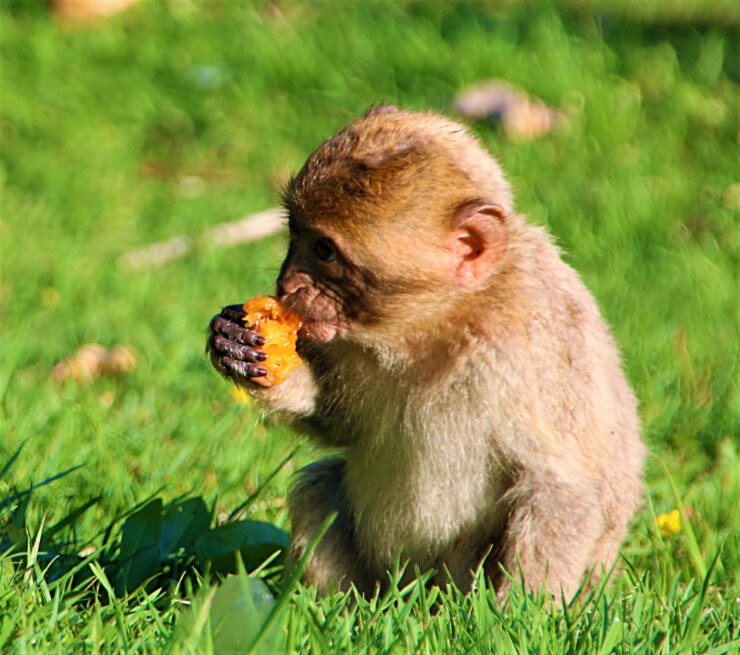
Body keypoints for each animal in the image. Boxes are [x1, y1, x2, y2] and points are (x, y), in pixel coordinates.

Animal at [205, 107, 644, 604]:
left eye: (324, 251)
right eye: (295, 235)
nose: (286, 284)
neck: (437, 326)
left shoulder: (533, 345)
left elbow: (563, 487)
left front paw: (524, 614)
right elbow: (340, 423)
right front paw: (246, 352)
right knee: (317, 489)